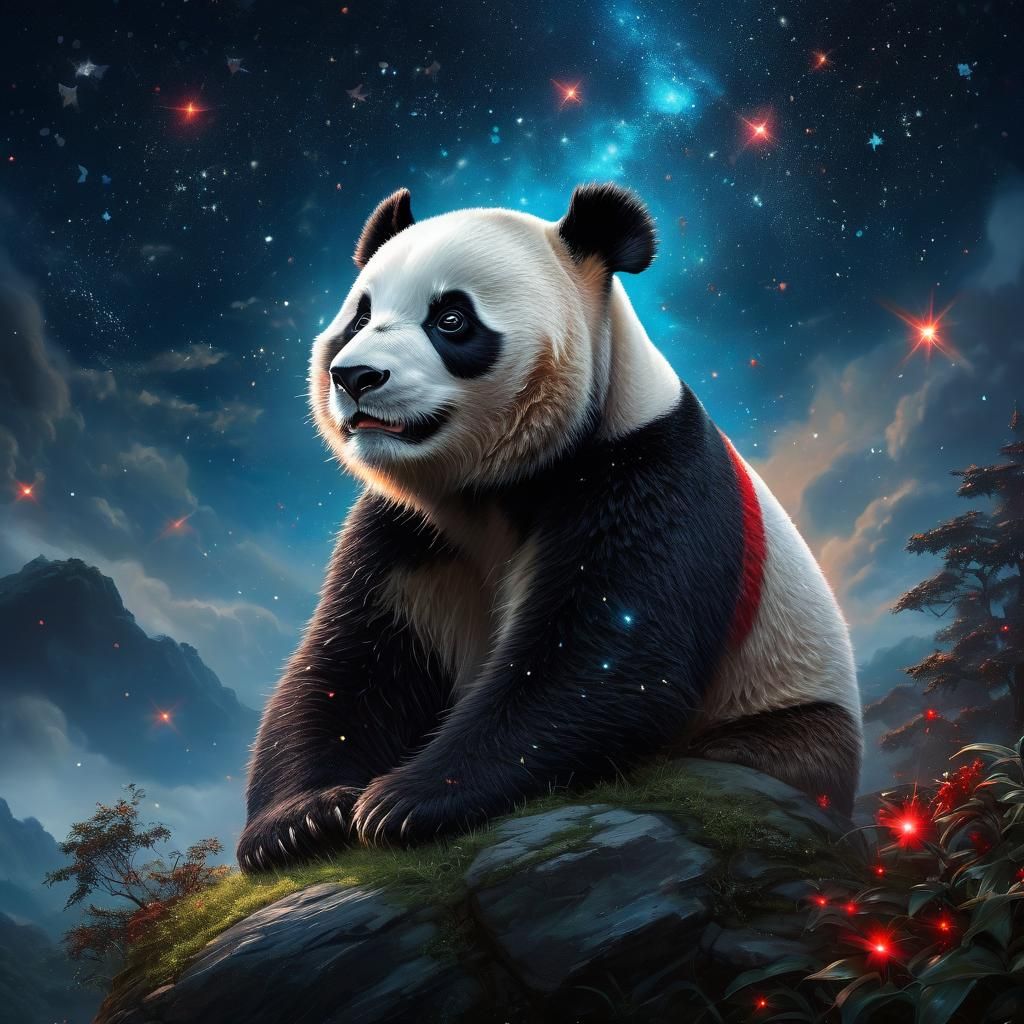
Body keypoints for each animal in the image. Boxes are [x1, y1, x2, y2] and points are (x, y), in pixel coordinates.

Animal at [237, 183, 862, 871]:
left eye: (451, 320)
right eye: (359, 317)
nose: (354, 377)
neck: (494, 489)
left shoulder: (647, 467)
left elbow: (600, 652)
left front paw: (405, 800)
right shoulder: (407, 532)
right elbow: (353, 662)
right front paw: (298, 822)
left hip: (785, 696)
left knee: (765, 750)